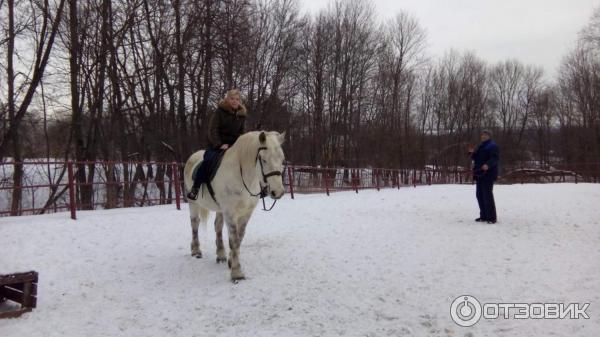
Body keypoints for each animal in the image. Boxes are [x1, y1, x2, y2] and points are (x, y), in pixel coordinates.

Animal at [183, 130, 286, 280]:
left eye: (282, 159)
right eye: (264, 160)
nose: (277, 192)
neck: (243, 177)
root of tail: (193, 156)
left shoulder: (246, 212)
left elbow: (239, 237)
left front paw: (231, 262)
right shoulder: (230, 212)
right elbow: (234, 239)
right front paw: (237, 273)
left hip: (220, 209)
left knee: (217, 226)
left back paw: (221, 254)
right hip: (193, 202)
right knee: (195, 223)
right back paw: (196, 250)